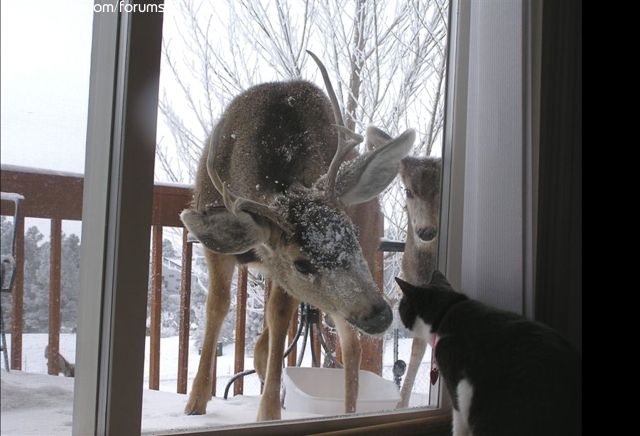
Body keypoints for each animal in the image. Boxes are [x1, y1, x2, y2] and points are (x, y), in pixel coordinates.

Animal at [180, 52, 416, 422]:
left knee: (350, 344)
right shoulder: (221, 248)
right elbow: (218, 306)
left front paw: (268, 412)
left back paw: (347, 412)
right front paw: (195, 403)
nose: (379, 315)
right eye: (302, 264)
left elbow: (278, 316)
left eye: (351, 234)